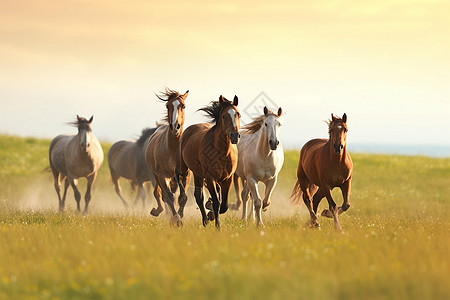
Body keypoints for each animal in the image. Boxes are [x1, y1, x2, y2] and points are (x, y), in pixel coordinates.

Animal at [145, 88, 189, 225]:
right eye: (167, 105)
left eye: (183, 106)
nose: (175, 127)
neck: (173, 150)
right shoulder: (162, 175)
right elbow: (169, 197)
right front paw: (176, 220)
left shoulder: (185, 175)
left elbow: (182, 197)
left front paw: (180, 216)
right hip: (157, 175)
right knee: (159, 194)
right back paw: (158, 211)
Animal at [179, 95, 243, 229]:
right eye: (224, 116)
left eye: (238, 115)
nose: (235, 136)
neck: (222, 152)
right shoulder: (210, 177)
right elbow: (217, 203)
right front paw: (216, 224)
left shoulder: (227, 179)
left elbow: (223, 205)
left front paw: (212, 214)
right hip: (190, 171)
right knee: (198, 196)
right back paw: (204, 220)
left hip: (199, 174)